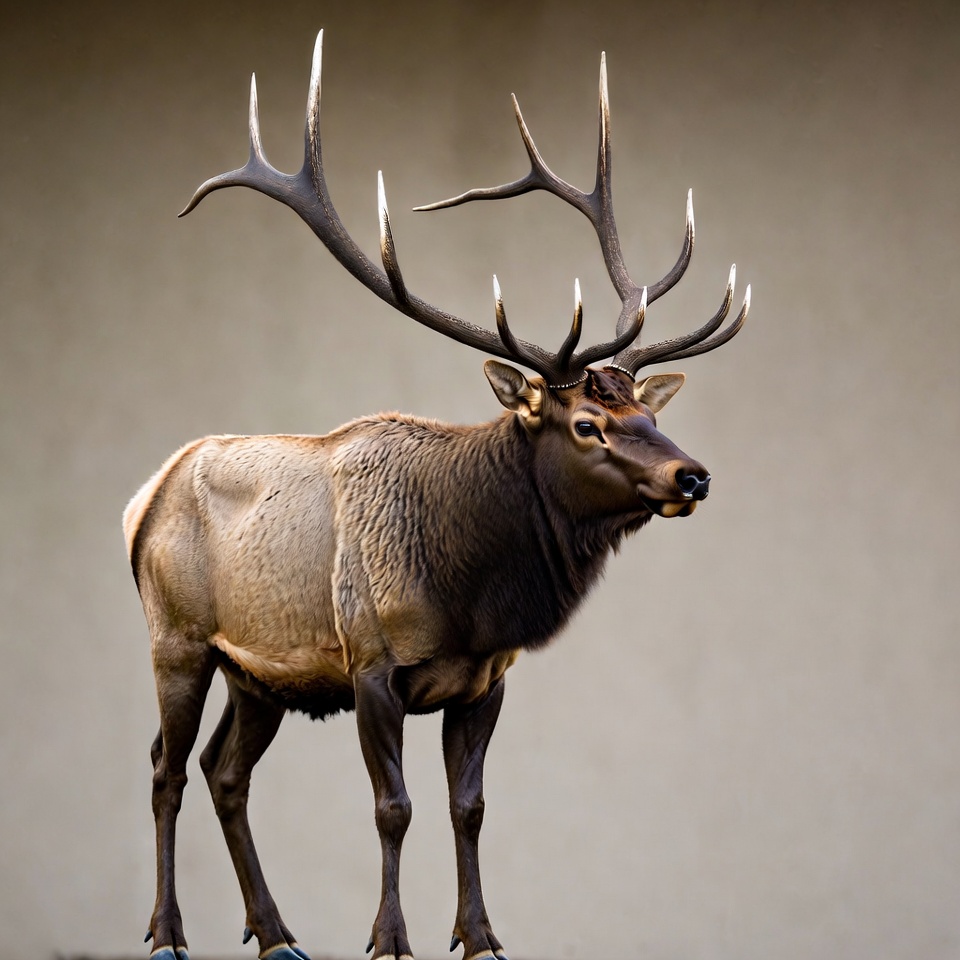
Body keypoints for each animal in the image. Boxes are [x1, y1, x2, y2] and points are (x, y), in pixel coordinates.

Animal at [124, 30, 749, 960]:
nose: (693, 475)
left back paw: (276, 933)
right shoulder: (371, 661)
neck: (469, 591)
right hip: (177, 637)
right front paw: (390, 938)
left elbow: (470, 807)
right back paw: (168, 932)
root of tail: (142, 498)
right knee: (165, 769)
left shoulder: (486, 679)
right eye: (586, 425)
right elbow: (394, 808)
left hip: (259, 675)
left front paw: (481, 935)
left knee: (222, 771)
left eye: (644, 410)